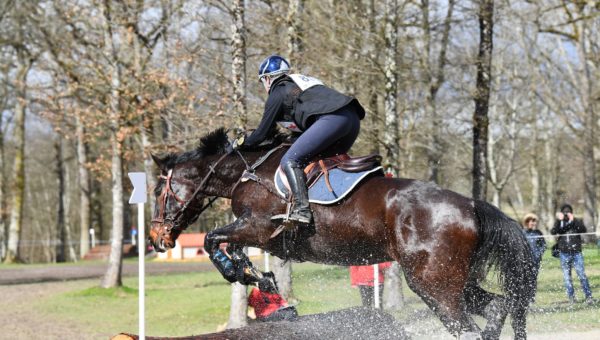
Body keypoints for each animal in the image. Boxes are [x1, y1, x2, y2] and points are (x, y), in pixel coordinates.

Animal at [149, 128, 536, 340]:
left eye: (157, 191)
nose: (157, 239)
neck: (247, 173)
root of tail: (471, 205)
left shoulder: (259, 227)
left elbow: (214, 239)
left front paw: (240, 271)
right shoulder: (255, 233)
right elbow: (227, 244)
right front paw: (256, 275)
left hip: (434, 285)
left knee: (465, 324)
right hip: (454, 280)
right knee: (497, 306)